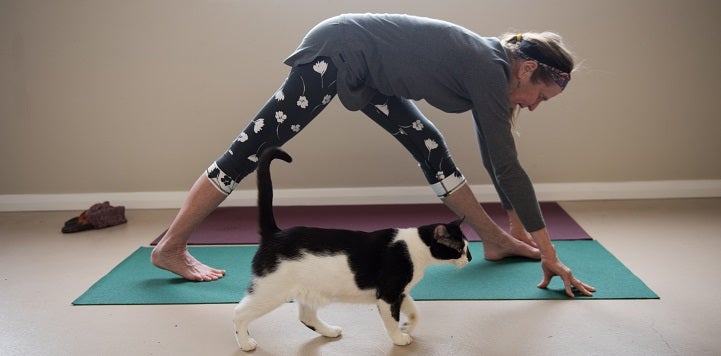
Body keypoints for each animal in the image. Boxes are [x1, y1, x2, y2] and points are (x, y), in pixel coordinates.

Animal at [233, 147, 472, 350]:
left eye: (467, 248)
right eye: (460, 248)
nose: (468, 259)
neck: (414, 247)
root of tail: (275, 233)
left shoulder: (400, 292)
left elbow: (415, 311)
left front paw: (408, 326)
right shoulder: (387, 294)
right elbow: (391, 320)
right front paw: (399, 338)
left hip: (308, 290)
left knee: (306, 316)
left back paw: (329, 331)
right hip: (270, 290)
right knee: (239, 313)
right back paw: (245, 343)